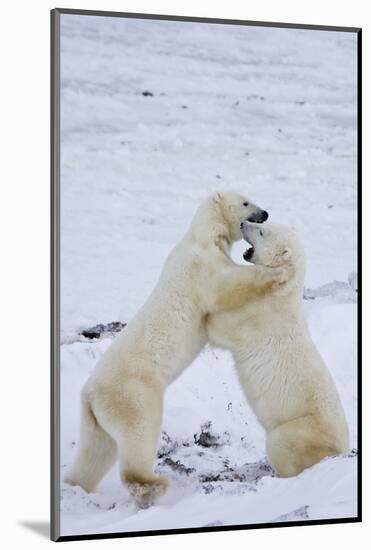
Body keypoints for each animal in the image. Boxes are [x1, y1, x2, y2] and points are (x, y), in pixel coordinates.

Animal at [65, 192, 290, 506]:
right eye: (246, 202)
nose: (265, 213)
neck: (203, 235)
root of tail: (89, 395)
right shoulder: (202, 266)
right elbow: (227, 287)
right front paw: (277, 273)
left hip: (96, 418)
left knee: (96, 451)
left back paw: (76, 485)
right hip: (133, 395)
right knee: (139, 434)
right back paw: (152, 484)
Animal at [209, 222, 352, 476]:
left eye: (262, 231)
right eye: (263, 224)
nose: (243, 223)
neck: (281, 292)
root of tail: (340, 451)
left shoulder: (258, 315)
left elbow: (223, 327)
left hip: (297, 430)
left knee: (280, 444)